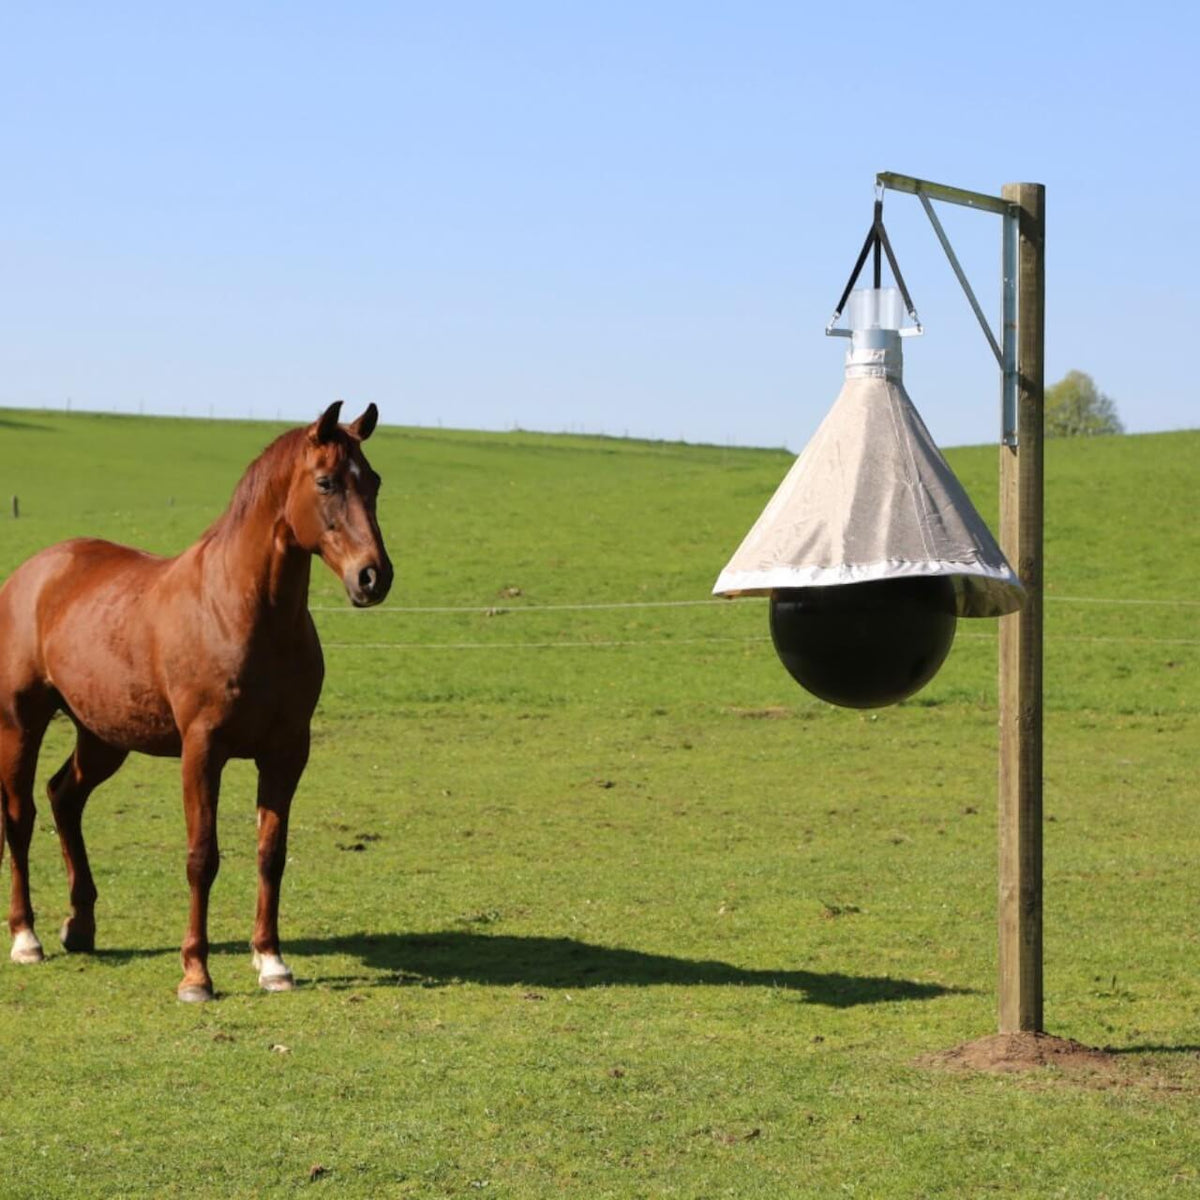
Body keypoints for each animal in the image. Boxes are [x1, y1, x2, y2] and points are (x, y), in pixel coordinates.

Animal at [0, 401, 392, 1001]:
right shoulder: (202, 750)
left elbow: (271, 854)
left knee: (65, 797)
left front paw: (271, 962)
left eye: (372, 481)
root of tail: (34, 572)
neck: (239, 610)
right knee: (21, 817)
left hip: (103, 736)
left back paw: (80, 926)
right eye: (326, 482)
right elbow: (201, 857)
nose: (373, 576)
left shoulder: (286, 752)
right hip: (22, 722)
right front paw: (196, 974)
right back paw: (27, 938)